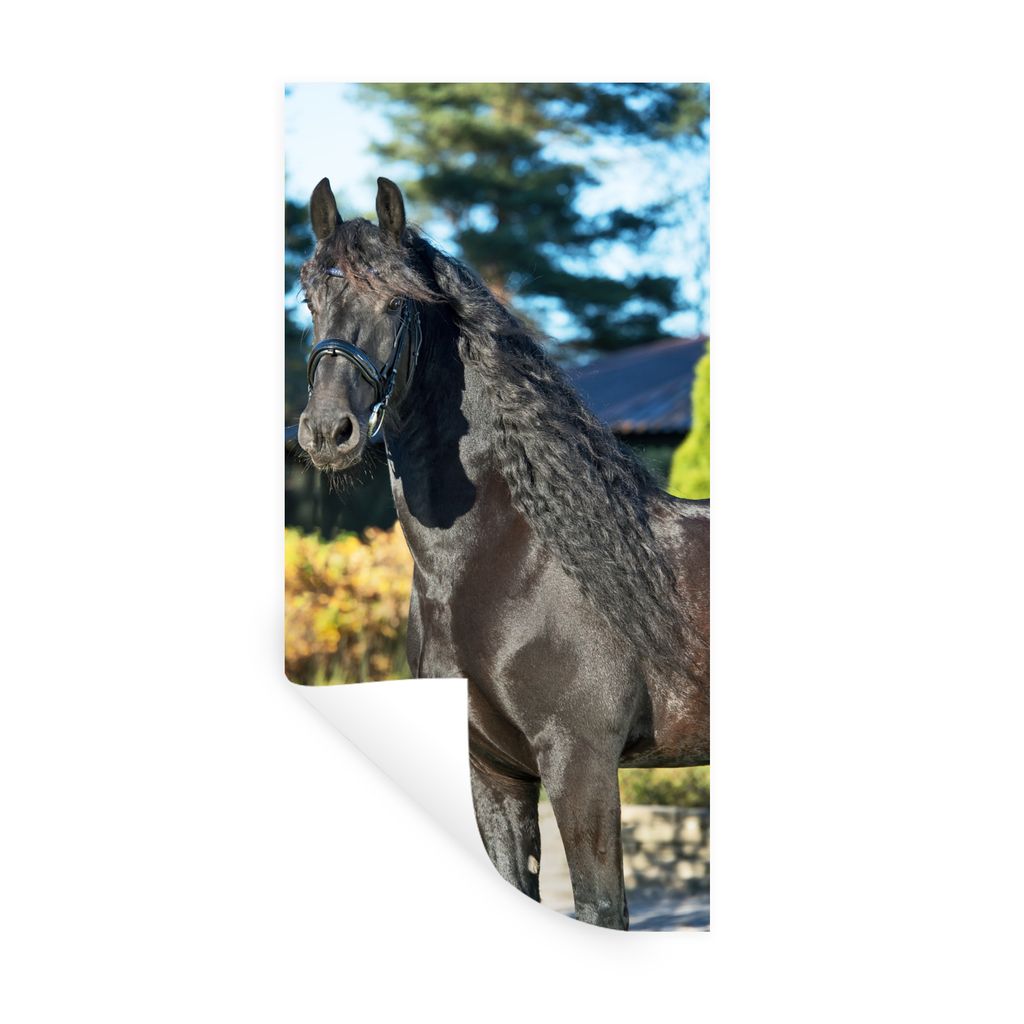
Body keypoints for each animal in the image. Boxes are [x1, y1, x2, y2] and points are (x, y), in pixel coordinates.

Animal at [295, 176, 709, 929]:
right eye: (311, 298)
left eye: (396, 302)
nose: (327, 432)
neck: (512, 565)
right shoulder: (491, 771)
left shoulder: (580, 764)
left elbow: (602, 910)